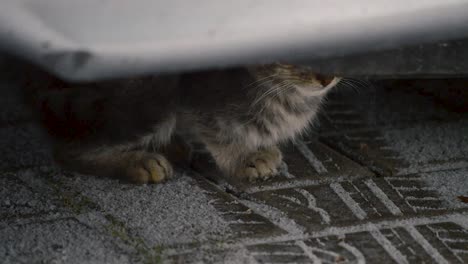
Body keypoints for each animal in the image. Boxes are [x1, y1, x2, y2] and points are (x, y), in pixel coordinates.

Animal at [24, 64, 340, 184]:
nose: (327, 77)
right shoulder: (199, 98)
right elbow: (220, 135)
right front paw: (244, 158)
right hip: (148, 96)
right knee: (68, 150)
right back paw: (139, 161)